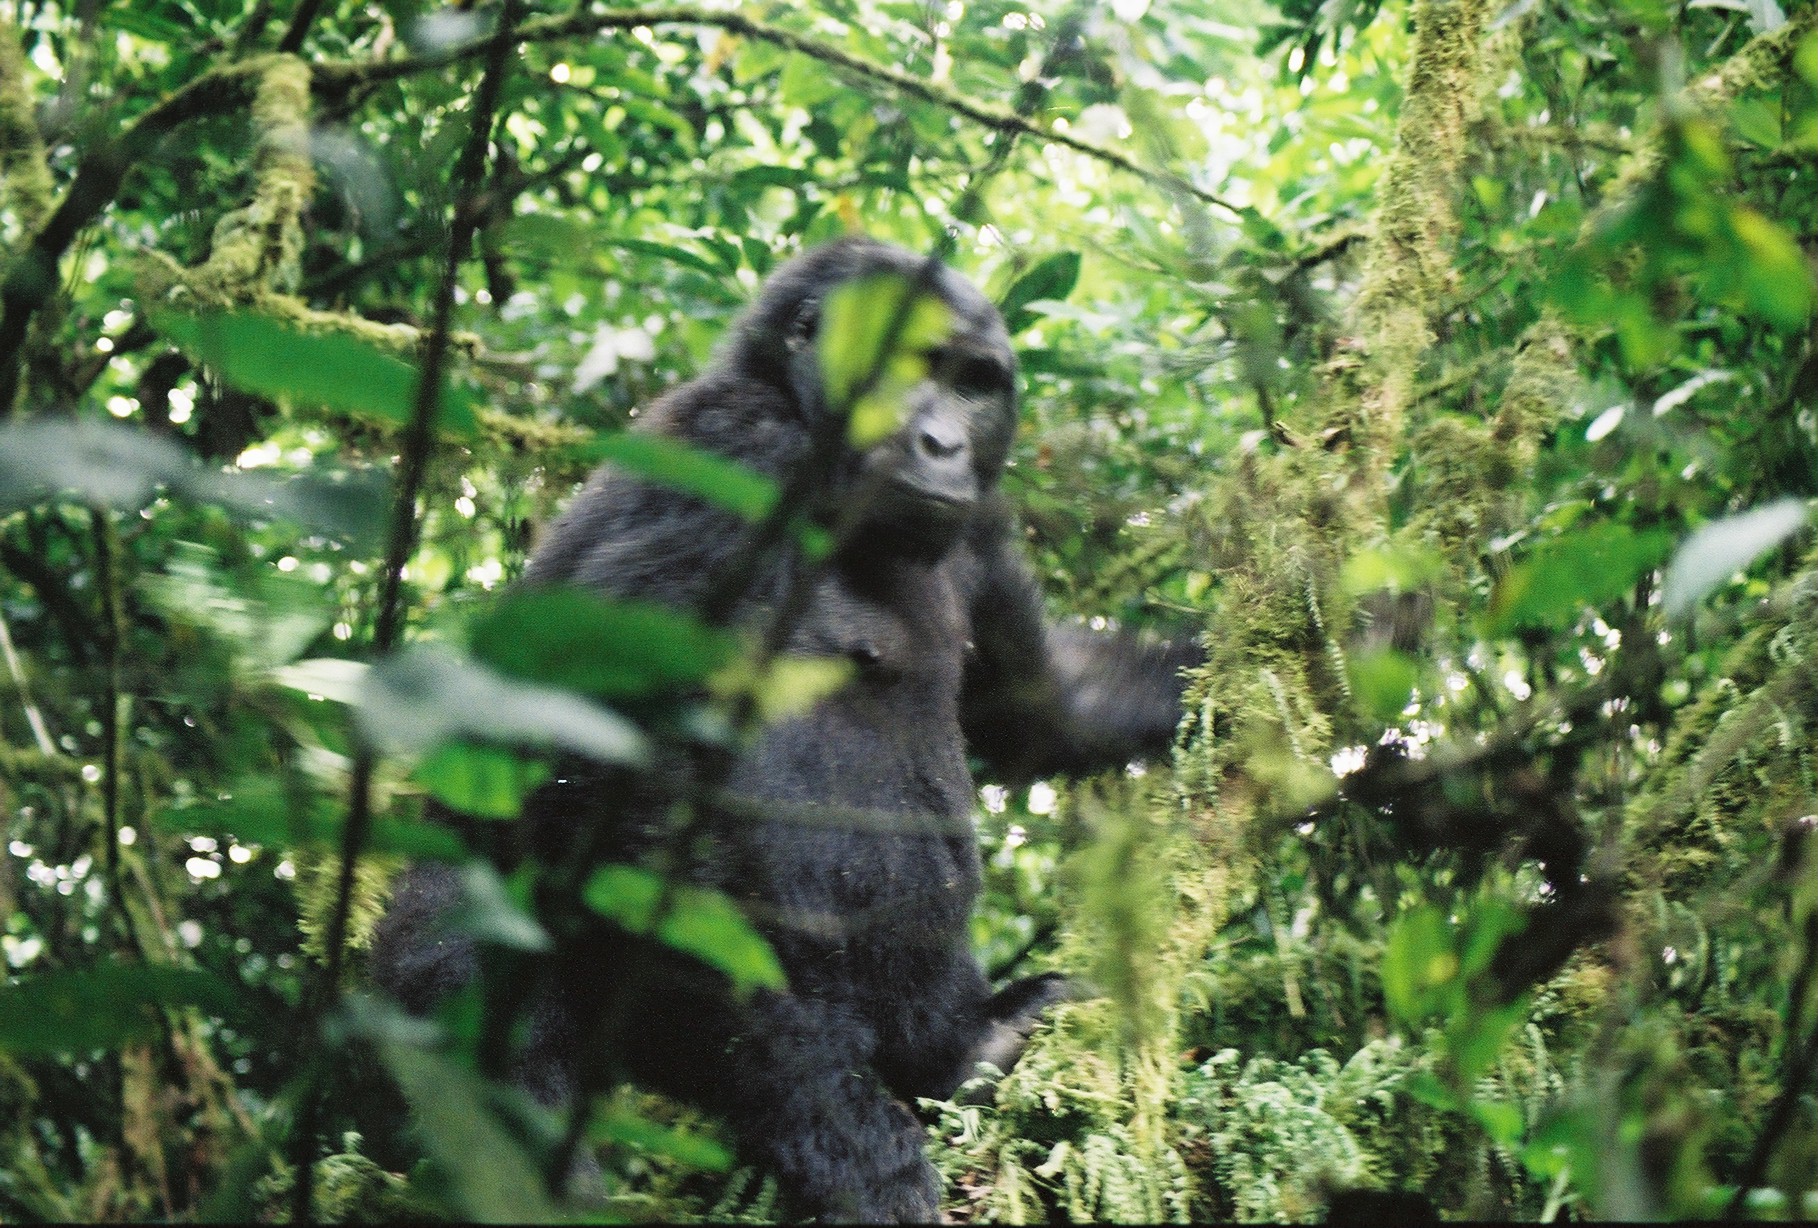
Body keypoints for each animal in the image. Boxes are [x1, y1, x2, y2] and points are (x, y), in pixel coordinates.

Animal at [372, 234, 1192, 1222]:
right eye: (912, 366)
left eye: (974, 383)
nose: (943, 443)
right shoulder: (735, 453)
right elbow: (624, 788)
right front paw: (840, 1132)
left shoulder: (981, 527)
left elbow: (1043, 704)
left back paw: (981, 1045)